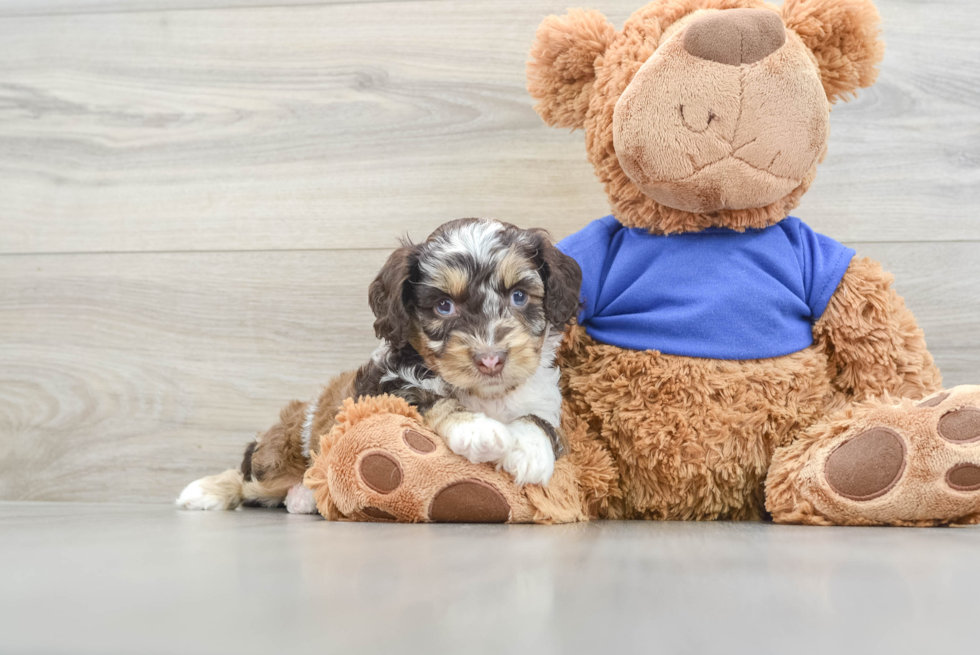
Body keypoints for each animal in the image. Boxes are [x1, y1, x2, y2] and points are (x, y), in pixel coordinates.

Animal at [176, 218, 580, 516]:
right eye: (443, 306)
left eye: (519, 296)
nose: (491, 359)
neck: (485, 395)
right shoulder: (384, 388)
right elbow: (432, 399)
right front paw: (477, 429)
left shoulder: (546, 400)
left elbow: (540, 422)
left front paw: (529, 450)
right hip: (279, 457)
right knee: (250, 477)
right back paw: (204, 490)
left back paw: (303, 497)